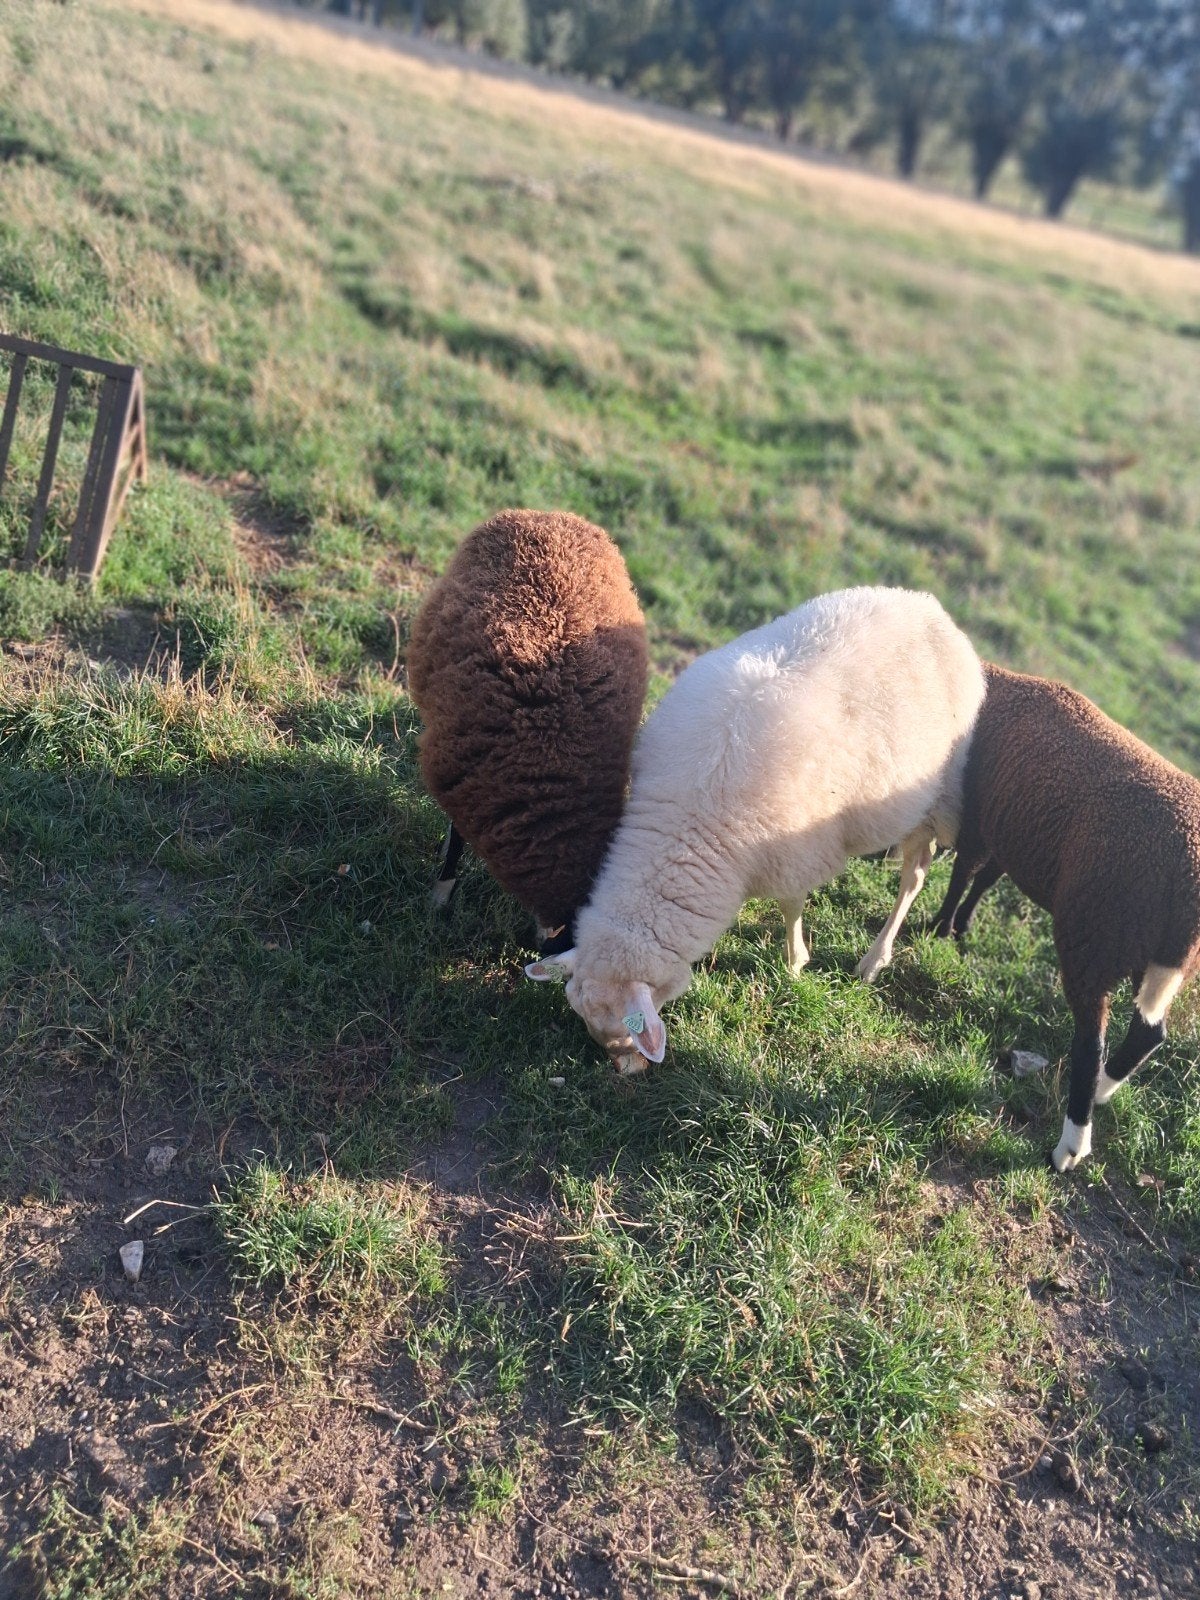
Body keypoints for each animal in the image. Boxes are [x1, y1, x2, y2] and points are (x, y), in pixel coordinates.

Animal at [526, 586, 986, 1074]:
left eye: (625, 1031)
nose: (628, 1072)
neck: (689, 823)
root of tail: (926, 604)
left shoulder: (796, 852)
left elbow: (790, 906)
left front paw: (795, 960)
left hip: (936, 795)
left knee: (914, 876)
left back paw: (874, 959)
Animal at [933, 662, 1200, 1173]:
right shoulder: (1014, 832)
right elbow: (986, 878)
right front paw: (961, 929)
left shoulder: (979, 811)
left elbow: (964, 872)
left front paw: (938, 928)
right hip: (1149, 953)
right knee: (1148, 1032)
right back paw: (1102, 1094)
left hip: (1093, 934)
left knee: (1091, 1044)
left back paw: (1070, 1147)